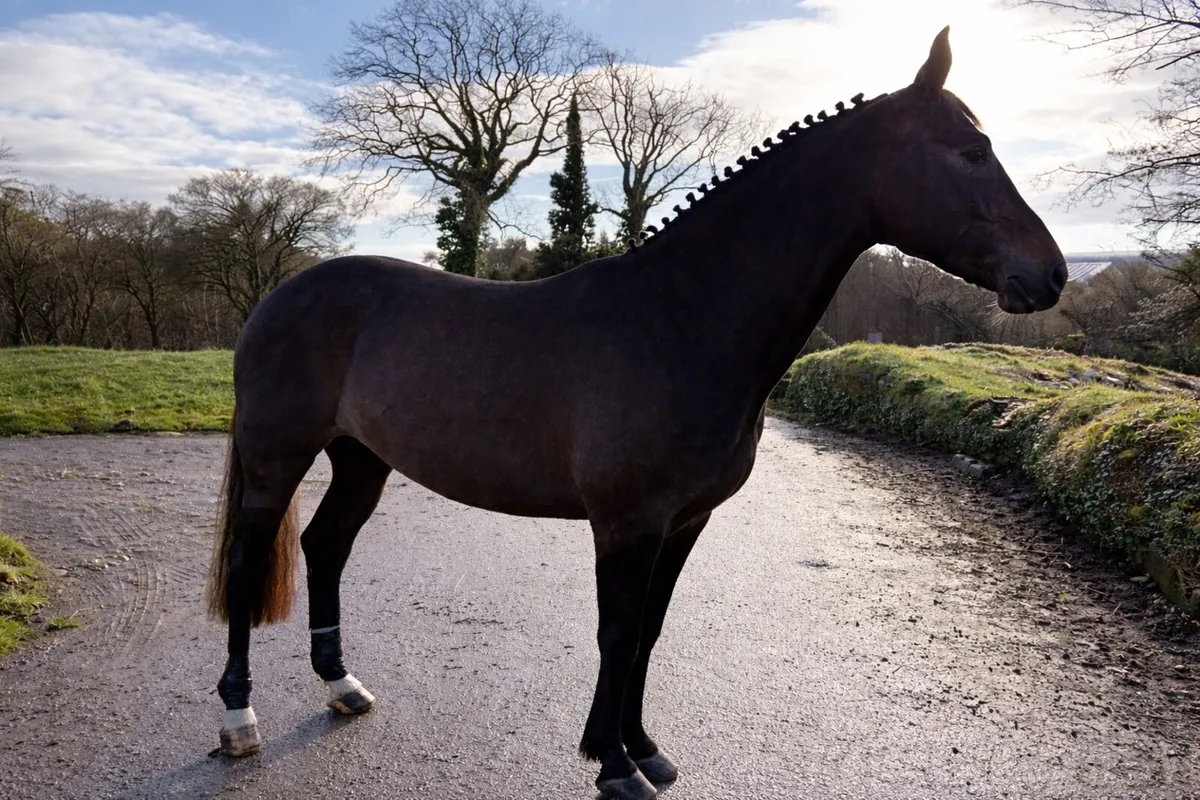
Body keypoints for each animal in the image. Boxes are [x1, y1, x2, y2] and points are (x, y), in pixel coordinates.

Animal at [205, 27, 1065, 800]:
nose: (1050, 274)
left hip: (361, 459)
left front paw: (642, 747)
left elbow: (649, 630)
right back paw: (239, 720)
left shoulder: (684, 522)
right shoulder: (627, 523)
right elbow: (616, 634)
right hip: (278, 457)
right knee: (249, 565)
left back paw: (341, 685)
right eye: (970, 151)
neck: (683, 318)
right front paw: (612, 764)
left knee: (324, 547)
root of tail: (280, 297)